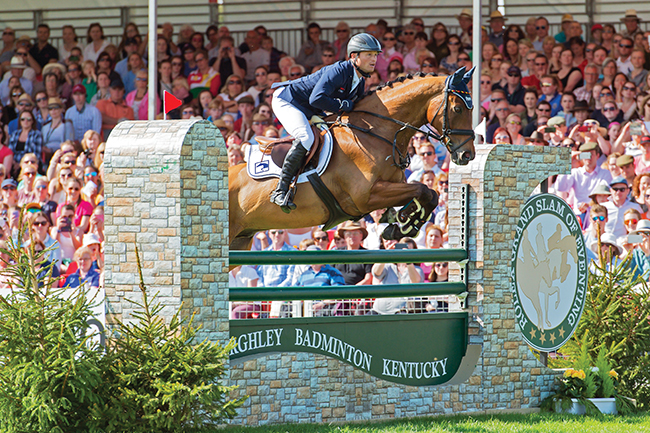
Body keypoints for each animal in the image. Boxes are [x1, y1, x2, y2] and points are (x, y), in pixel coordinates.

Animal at [230, 68, 474, 250]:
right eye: (458, 109)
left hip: (241, 239)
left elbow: (429, 194)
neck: (375, 132)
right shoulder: (365, 196)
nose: (467, 155)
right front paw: (404, 221)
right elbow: (422, 190)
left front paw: (401, 224)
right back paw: (281, 195)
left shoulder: (394, 185)